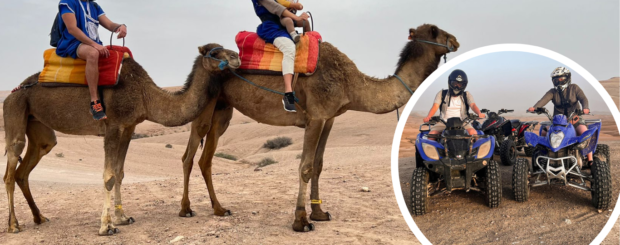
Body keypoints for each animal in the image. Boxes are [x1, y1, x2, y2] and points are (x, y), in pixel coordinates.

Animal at [2, 44, 240, 235]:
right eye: (214, 52)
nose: (236, 56)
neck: (145, 95)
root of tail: (13, 91)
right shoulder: (113, 126)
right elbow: (108, 176)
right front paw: (106, 227)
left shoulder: (128, 128)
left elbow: (119, 173)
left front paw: (122, 218)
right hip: (15, 109)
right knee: (10, 169)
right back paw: (14, 225)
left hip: (38, 126)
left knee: (28, 165)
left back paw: (39, 217)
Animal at [177, 23, 458, 232]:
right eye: (435, 31)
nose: (455, 40)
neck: (350, 83)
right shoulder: (316, 117)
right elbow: (305, 166)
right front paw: (301, 221)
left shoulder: (329, 118)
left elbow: (319, 165)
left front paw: (319, 212)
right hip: (204, 103)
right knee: (189, 155)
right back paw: (186, 209)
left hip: (222, 110)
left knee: (205, 158)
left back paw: (219, 209)